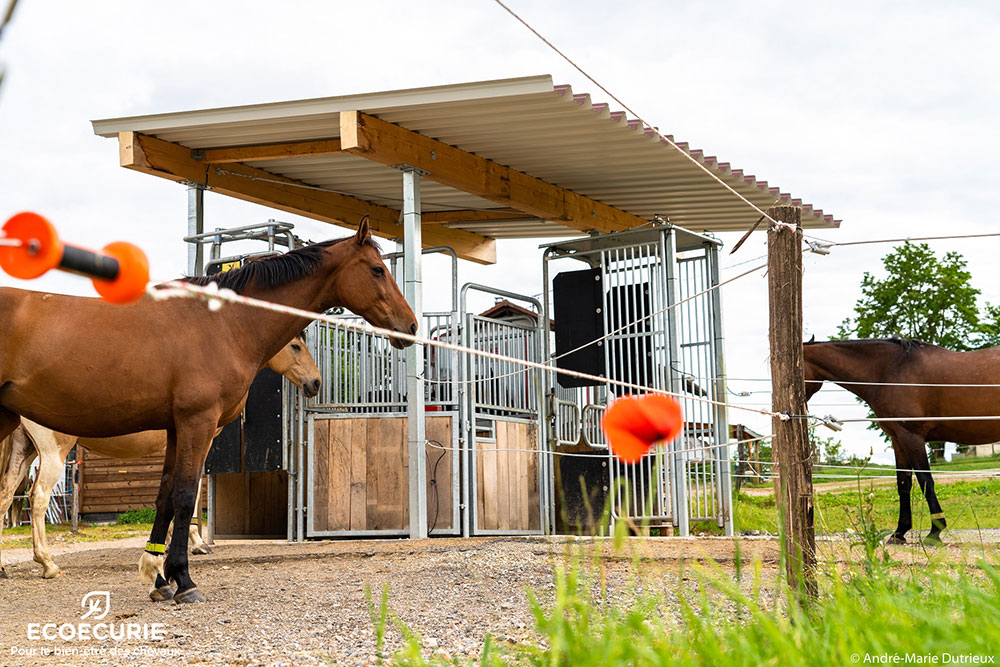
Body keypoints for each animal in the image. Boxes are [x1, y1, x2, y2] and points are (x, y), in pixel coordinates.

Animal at [0, 334, 320, 580]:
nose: (315, 383)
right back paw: (48, 565)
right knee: (38, 498)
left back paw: (4, 567)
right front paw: (194, 544)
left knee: (5, 496)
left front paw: (163, 545)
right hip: (53, 454)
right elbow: (191, 494)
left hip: (24, 452)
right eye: (295, 346)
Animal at [800, 336, 1000, 544]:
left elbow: (925, 480)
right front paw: (900, 532)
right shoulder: (898, 439)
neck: (890, 370)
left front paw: (935, 531)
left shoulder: (911, 436)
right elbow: (903, 484)